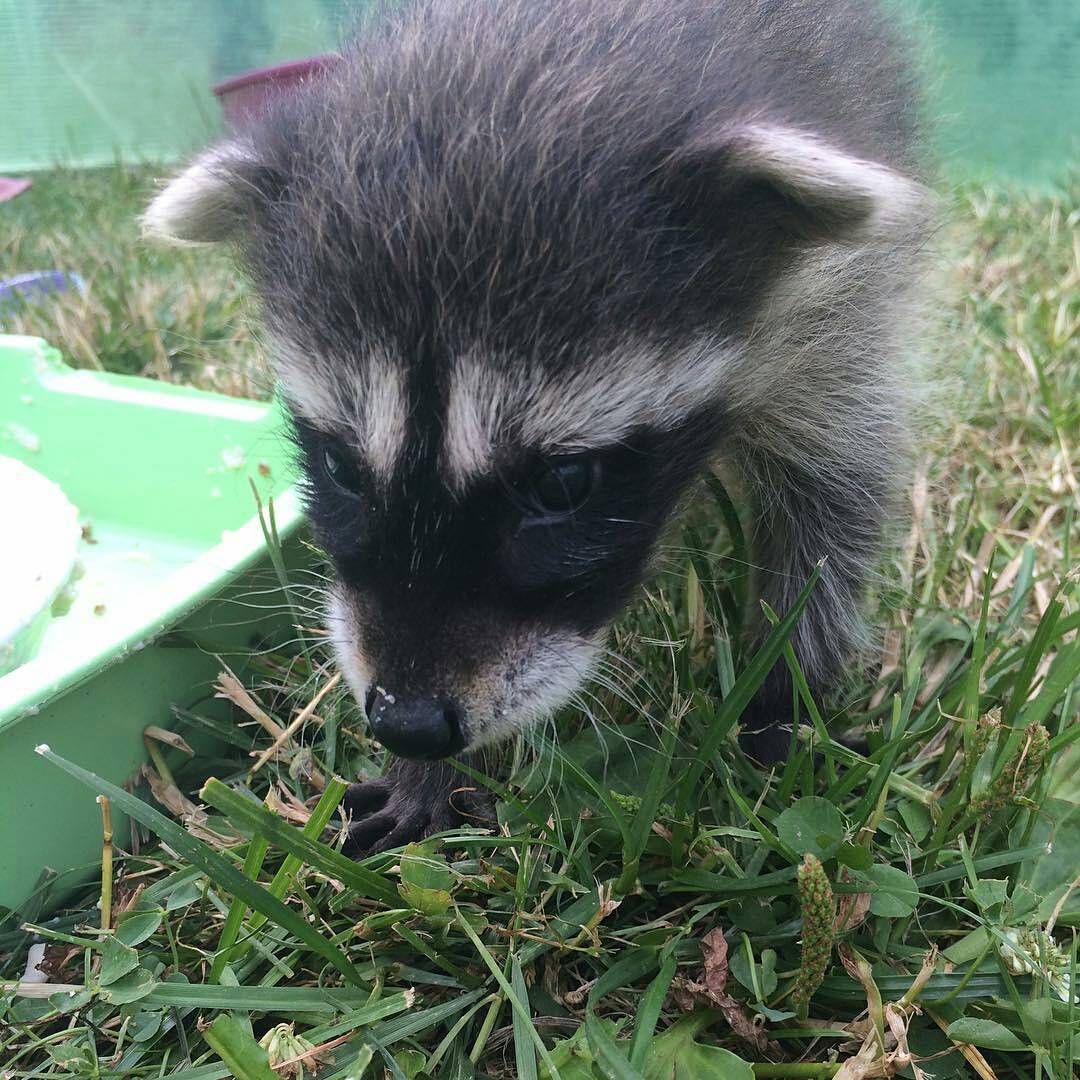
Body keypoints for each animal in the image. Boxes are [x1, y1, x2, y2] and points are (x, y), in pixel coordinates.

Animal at [145, 0, 937, 851]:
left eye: (563, 484)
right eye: (343, 469)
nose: (408, 725)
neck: (537, 41)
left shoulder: (839, 307)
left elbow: (833, 510)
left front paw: (787, 696)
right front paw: (430, 776)